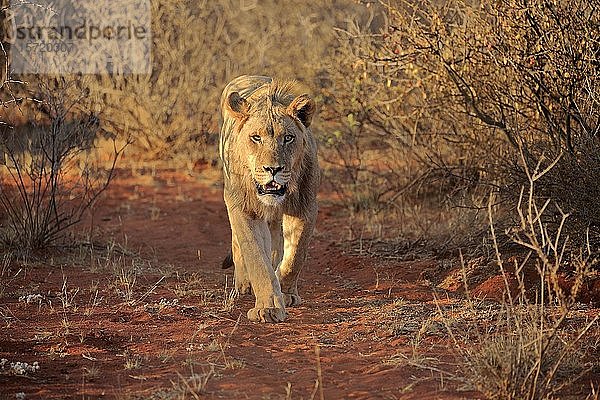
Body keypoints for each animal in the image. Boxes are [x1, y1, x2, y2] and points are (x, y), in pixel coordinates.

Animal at [219, 76, 322, 324]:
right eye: (256, 137)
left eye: (288, 138)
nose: (273, 169)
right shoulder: (243, 209)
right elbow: (257, 258)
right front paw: (268, 307)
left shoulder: (305, 206)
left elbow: (295, 256)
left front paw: (285, 293)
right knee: (239, 244)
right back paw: (243, 284)